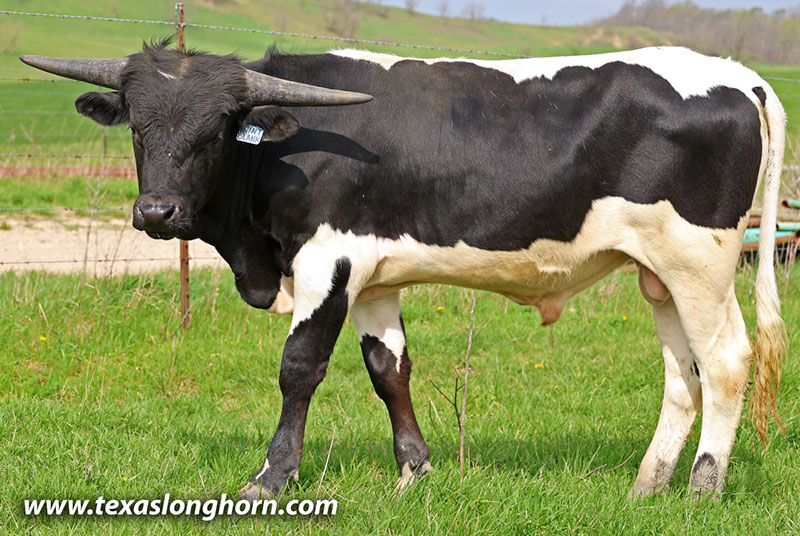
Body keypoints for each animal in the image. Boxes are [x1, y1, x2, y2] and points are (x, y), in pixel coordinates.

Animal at [21, 41, 787, 499]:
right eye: (138, 127)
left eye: (216, 130)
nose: (157, 210)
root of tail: (739, 75)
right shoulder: (374, 277)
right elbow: (389, 368)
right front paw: (415, 469)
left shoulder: (328, 260)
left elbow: (300, 367)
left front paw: (271, 477)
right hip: (659, 274)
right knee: (683, 374)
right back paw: (646, 487)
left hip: (700, 263)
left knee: (725, 361)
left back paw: (703, 487)